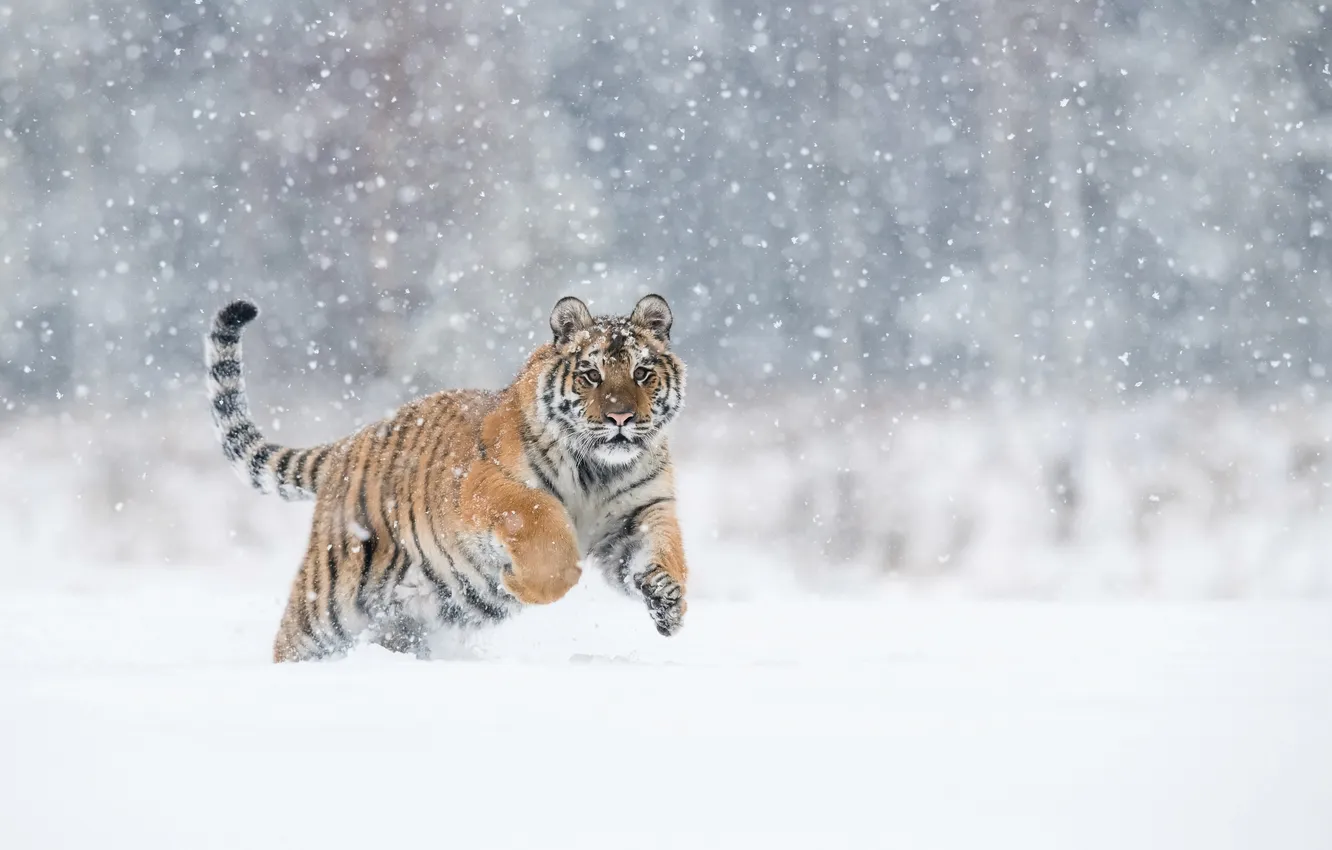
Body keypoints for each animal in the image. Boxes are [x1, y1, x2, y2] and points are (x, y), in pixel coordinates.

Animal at [205, 294, 688, 662]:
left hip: (403, 618)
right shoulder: (486, 485)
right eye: (592, 375)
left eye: (641, 372)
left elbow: (664, 550)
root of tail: (348, 444)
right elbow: (546, 530)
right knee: (292, 640)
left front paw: (669, 602)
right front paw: (519, 583)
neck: (599, 470)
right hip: (329, 599)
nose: (621, 418)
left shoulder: (640, 512)